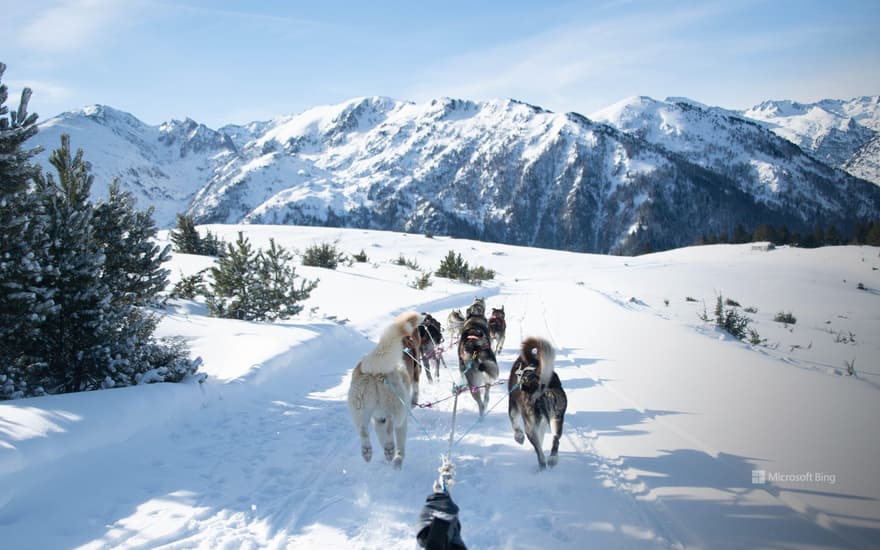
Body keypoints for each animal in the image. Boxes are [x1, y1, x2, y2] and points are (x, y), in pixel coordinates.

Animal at [348, 310, 422, 470]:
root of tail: (374, 370)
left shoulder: (378, 418)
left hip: (360, 409)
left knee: (363, 430)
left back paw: (370, 451)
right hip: (398, 409)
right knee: (393, 426)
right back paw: (392, 451)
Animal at [508, 336, 572, 470]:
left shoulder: (513, 405)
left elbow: (514, 423)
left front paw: (519, 437)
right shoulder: (543, 421)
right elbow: (541, 435)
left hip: (529, 425)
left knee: (539, 452)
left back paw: (541, 465)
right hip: (557, 417)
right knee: (556, 439)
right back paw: (552, 459)